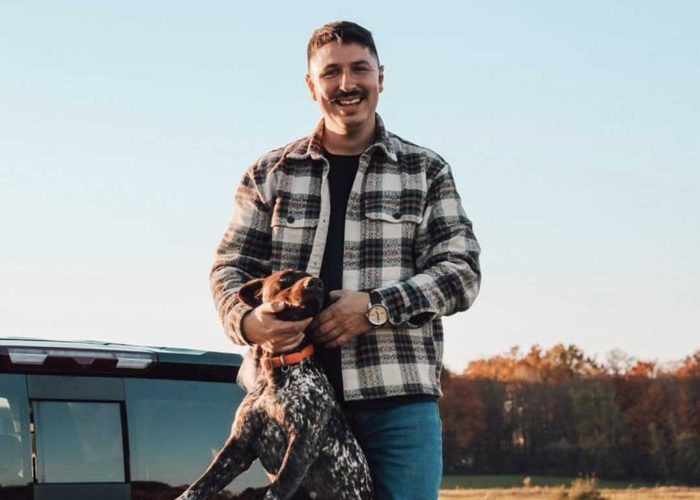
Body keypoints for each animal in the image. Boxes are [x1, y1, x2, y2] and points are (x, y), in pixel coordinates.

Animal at [176, 270, 372, 500]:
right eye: (285, 279)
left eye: (319, 283)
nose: (316, 282)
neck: (279, 370)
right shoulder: (239, 444)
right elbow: (199, 486)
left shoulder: (301, 443)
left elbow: (276, 490)